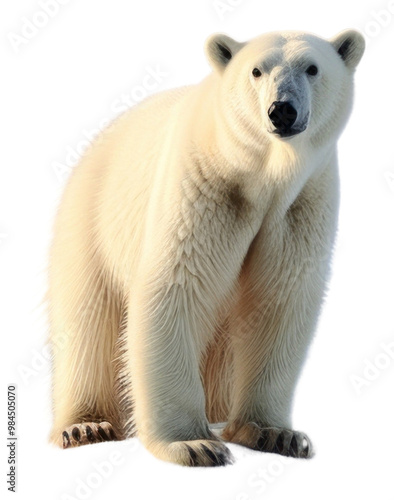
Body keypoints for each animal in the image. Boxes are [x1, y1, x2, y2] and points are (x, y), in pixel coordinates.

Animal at [47, 29, 364, 466]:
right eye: (256, 70)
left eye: (312, 68)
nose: (281, 111)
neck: (262, 176)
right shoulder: (202, 187)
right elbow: (176, 287)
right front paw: (193, 444)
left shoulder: (300, 205)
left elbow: (279, 300)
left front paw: (276, 434)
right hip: (92, 220)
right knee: (87, 322)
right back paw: (86, 425)